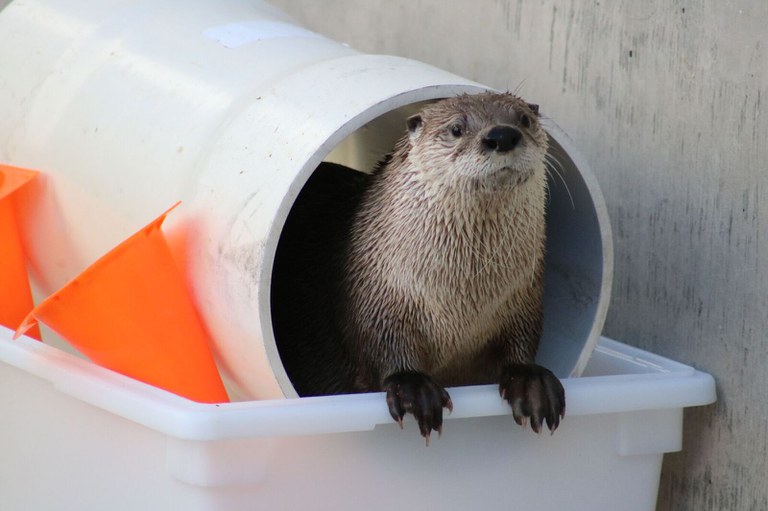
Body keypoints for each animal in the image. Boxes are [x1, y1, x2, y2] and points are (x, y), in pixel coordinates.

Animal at [270, 92, 564, 444]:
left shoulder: (522, 298)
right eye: (456, 128)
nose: (503, 135)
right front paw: (413, 388)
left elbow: (524, 339)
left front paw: (531, 381)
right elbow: (383, 346)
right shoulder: (378, 299)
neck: (462, 304)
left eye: (523, 119)